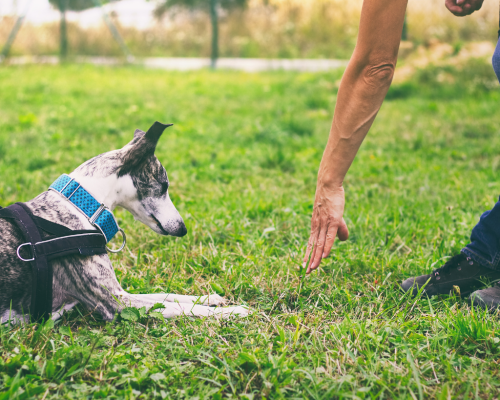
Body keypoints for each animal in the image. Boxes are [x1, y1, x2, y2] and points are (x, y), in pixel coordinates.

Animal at [0, 122, 250, 324]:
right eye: (164, 185)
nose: (182, 229)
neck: (81, 205)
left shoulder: (122, 293)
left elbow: (167, 295)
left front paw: (209, 298)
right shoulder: (116, 302)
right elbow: (178, 307)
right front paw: (234, 312)